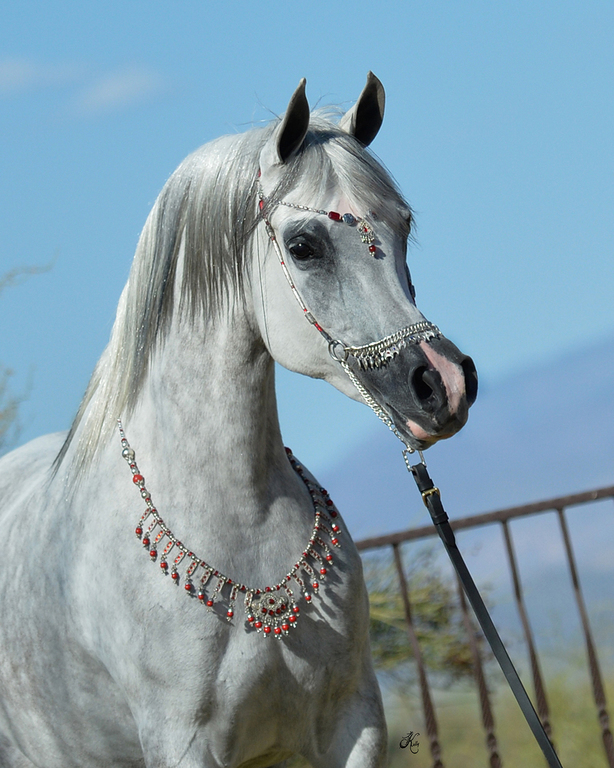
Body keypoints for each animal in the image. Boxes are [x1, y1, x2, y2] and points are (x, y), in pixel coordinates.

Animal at [0, 73, 477, 768]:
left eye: (404, 227)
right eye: (304, 246)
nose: (444, 383)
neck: (239, 523)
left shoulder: (353, 722)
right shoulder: (184, 744)